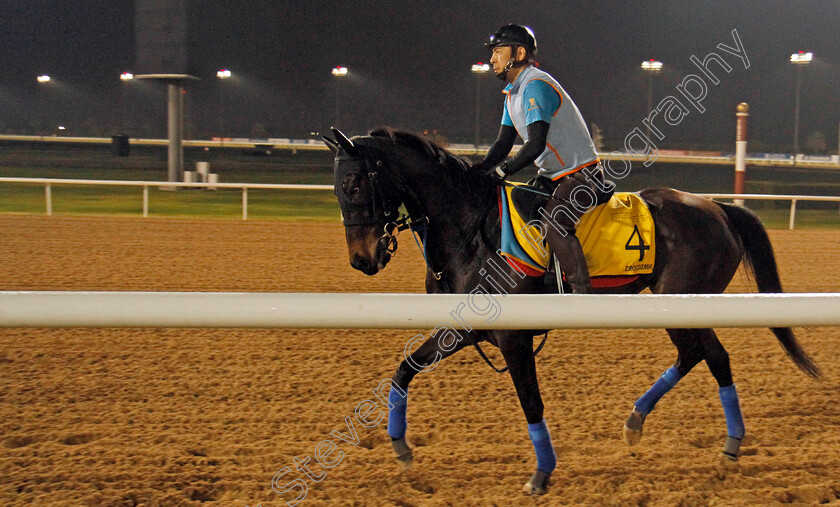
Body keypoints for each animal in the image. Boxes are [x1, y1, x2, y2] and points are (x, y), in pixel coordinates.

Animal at [322, 126, 820, 496]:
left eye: (353, 184)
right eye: (337, 188)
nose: (362, 259)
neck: (470, 227)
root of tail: (716, 207)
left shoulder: (513, 336)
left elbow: (530, 401)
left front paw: (541, 475)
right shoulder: (465, 329)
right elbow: (404, 368)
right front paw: (400, 446)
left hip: (684, 301)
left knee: (713, 356)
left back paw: (729, 444)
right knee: (698, 354)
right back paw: (638, 423)